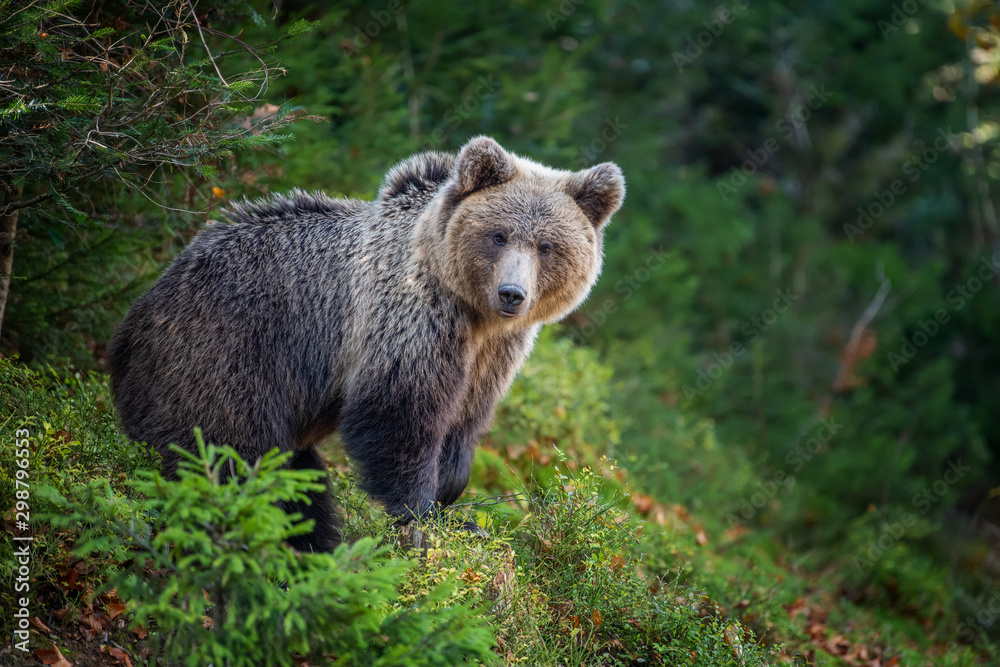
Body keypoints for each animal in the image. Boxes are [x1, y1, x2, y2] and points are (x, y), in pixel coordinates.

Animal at [108, 136, 625, 552]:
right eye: (498, 235)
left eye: (546, 246)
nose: (512, 294)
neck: (472, 312)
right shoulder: (410, 318)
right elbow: (398, 412)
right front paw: (422, 514)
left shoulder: (495, 354)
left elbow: (464, 423)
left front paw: (456, 504)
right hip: (224, 353)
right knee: (234, 451)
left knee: (298, 478)